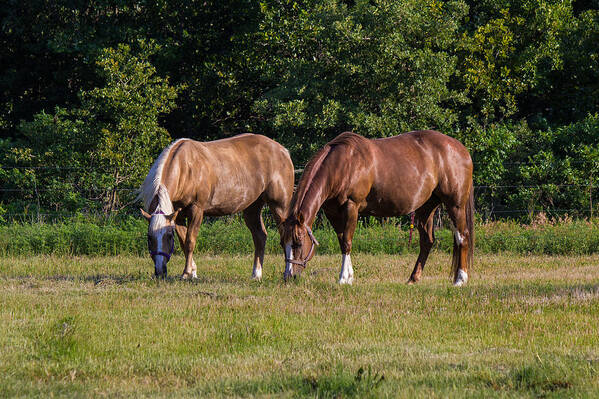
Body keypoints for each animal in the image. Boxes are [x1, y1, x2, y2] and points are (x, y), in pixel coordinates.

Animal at [138, 134, 292, 278]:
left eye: (169, 236)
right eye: (149, 237)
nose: (160, 271)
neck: (185, 168)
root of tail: (283, 151)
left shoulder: (196, 210)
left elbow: (190, 241)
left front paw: (187, 273)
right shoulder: (178, 216)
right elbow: (183, 242)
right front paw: (193, 272)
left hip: (279, 206)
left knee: (286, 235)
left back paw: (288, 272)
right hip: (252, 208)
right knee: (260, 236)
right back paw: (256, 274)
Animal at [284, 133, 476, 286]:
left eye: (298, 243)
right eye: (282, 243)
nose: (288, 277)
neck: (342, 164)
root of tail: (461, 149)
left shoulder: (351, 207)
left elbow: (347, 242)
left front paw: (344, 278)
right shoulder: (333, 213)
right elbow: (342, 241)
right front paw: (349, 276)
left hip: (455, 205)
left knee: (462, 237)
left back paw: (460, 280)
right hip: (426, 207)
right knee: (427, 241)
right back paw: (413, 279)